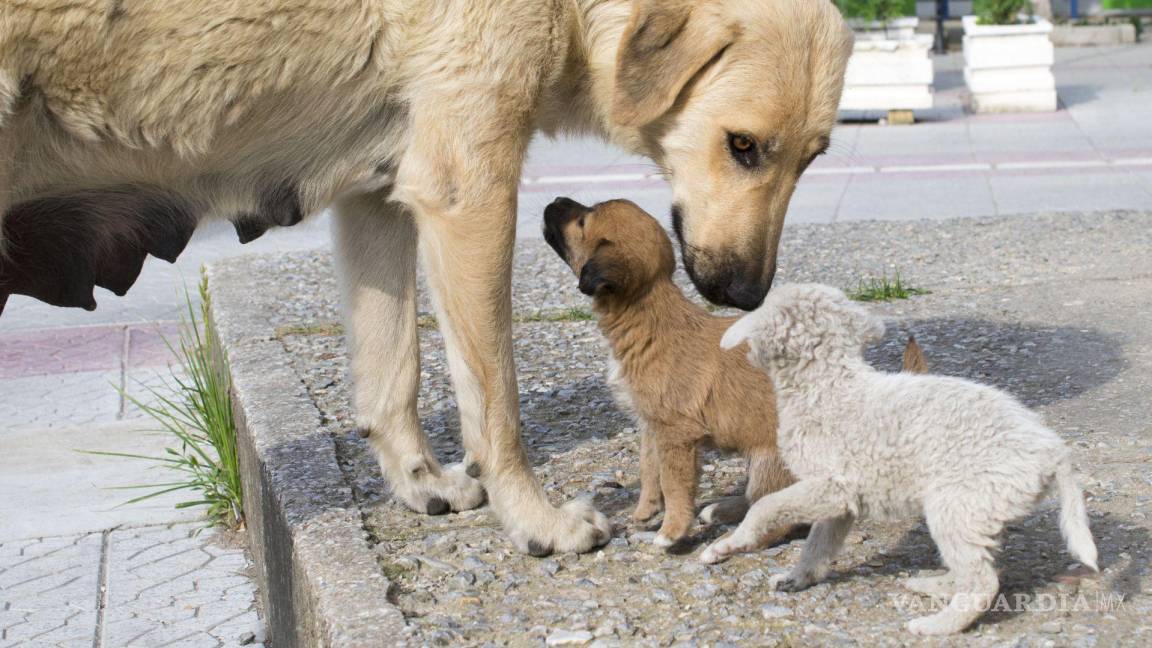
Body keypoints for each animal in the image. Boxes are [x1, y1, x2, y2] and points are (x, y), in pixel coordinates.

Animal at [543, 197, 797, 544]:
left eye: (583, 222)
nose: (555, 200)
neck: (647, 314)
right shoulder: (653, 426)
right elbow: (650, 469)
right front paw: (646, 510)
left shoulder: (677, 434)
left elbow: (674, 483)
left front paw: (672, 530)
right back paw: (719, 510)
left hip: (768, 457)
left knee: (776, 508)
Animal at [691, 281, 1096, 631]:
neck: (827, 386)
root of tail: (1053, 449)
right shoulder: (840, 503)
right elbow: (818, 545)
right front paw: (797, 578)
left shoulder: (830, 485)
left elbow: (765, 507)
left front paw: (728, 545)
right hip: (979, 510)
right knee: (978, 567)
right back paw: (933, 585)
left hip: (955, 506)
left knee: (982, 583)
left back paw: (937, 626)